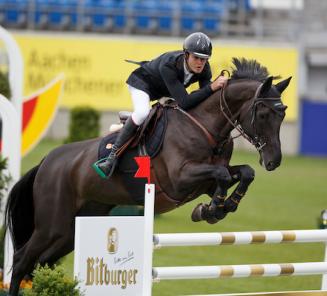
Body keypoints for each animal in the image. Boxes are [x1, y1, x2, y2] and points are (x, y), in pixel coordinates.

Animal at [4, 58, 292, 296]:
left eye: (283, 114)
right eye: (263, 114)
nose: (273, 161)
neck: (206, 127)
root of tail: (46, 161)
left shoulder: (205, 183)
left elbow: (243, 173)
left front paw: (220, 207)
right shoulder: (180, 179)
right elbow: (222, 174)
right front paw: (212, 210)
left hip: (71, 228)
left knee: (41, 263)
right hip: (51, 224)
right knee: (21, 260)